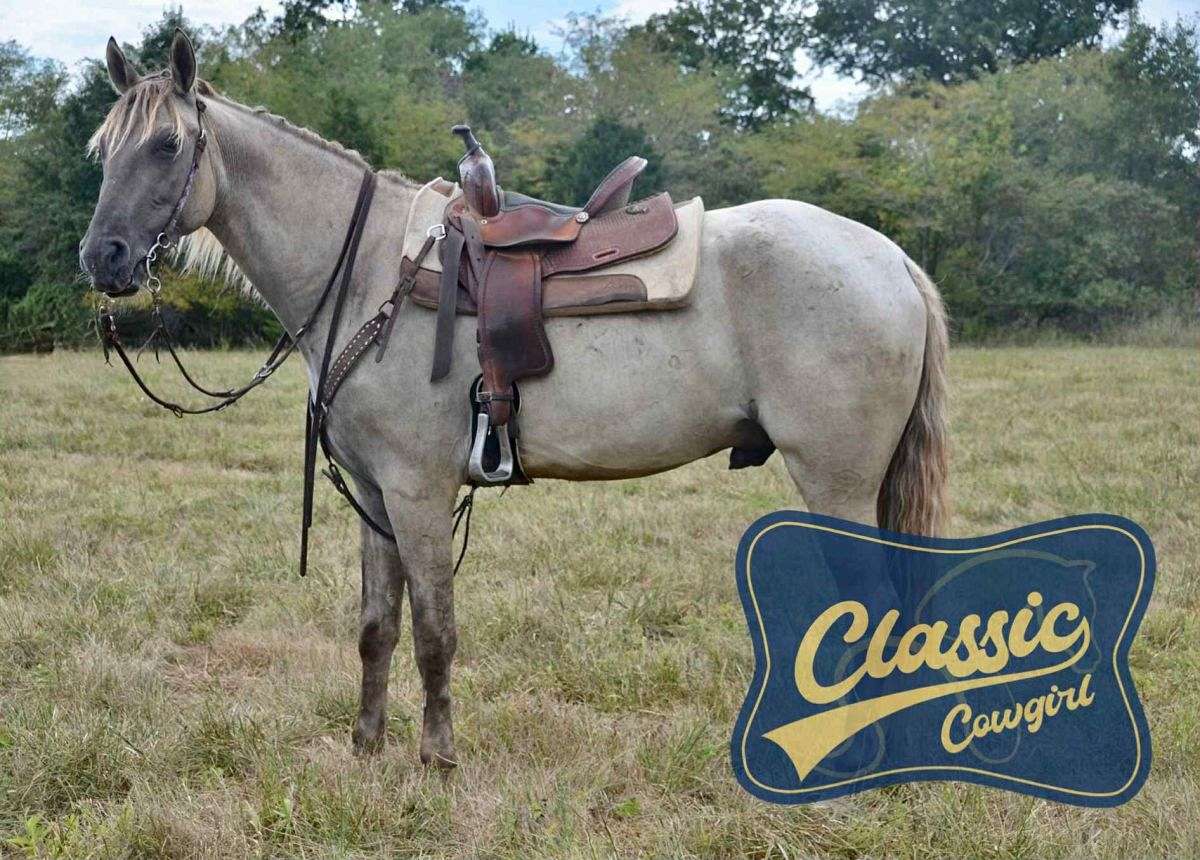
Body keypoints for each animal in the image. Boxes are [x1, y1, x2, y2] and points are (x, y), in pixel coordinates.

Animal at [79, 30, 949, 768]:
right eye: (102, 149)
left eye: (166, 145)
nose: (103, 257)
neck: (367, 272)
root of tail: (892, 258)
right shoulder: (373, 495)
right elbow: (376, 627)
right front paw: (366, 747)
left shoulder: (418, 491)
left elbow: (434, 631)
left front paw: (437, 757)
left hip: (836, 478)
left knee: (876, 613)